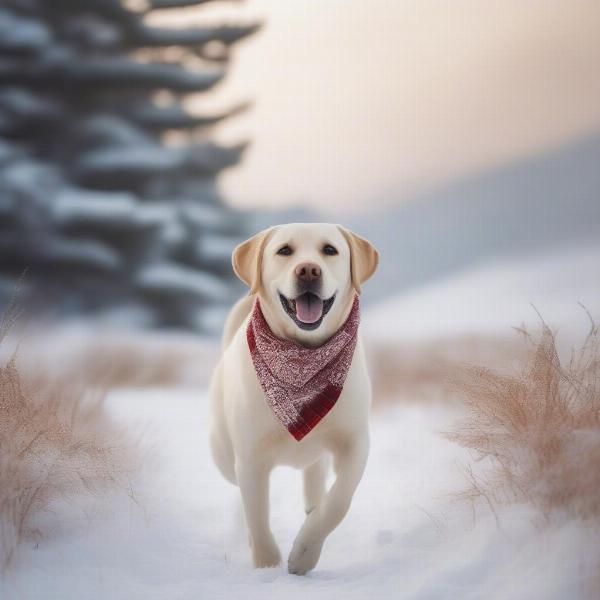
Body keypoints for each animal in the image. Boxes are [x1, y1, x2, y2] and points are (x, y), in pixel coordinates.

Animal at [210, 223, 380, 576]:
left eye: (329, 250)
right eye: (285, 251)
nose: (308, 270)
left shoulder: (356, 442)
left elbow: (339, 501)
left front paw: (304, 553)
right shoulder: (250, 458)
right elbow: (257, 516)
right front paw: (266, 564)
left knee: (315, 477)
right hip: (223, 455)